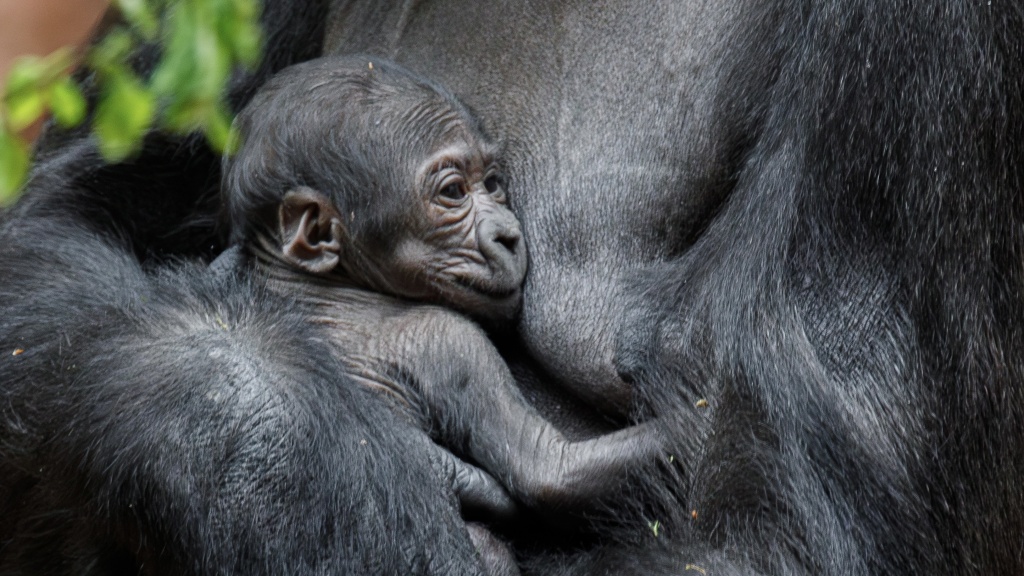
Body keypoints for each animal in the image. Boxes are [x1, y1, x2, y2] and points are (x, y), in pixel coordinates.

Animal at [220, 56, 659, 522]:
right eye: (453, 191)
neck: (310, 282)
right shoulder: (447, 339)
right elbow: (550, 468)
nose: (508, 235)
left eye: (492, 183)